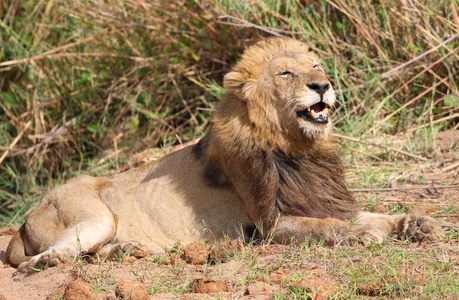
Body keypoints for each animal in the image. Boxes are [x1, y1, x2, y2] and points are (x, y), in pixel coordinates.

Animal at [4, 37, 442, 272]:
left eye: (316, 66)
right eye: (286, 73)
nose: (322, 85)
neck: (298, 147)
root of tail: (27, 218)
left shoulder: (321, 199)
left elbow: (369, 213)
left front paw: (414, 223)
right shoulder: (269, 225)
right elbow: (326, 227)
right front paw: (361, 234)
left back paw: (130, 249)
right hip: (91, 215)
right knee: (53, 253)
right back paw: (48, 263)